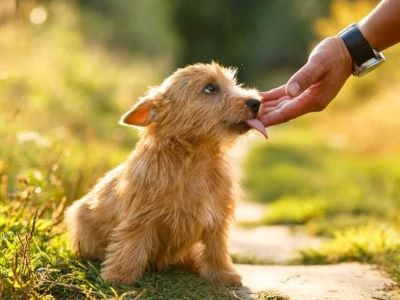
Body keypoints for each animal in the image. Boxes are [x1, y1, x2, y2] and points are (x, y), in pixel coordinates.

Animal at [65, 62, 266, 286]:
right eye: (210, 88)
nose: (256, 102)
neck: (195, 160)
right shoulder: (141, 217)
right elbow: (130, 245)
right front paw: (119, 277)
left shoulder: (216, 218)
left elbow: (216, 249)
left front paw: (223, 275)